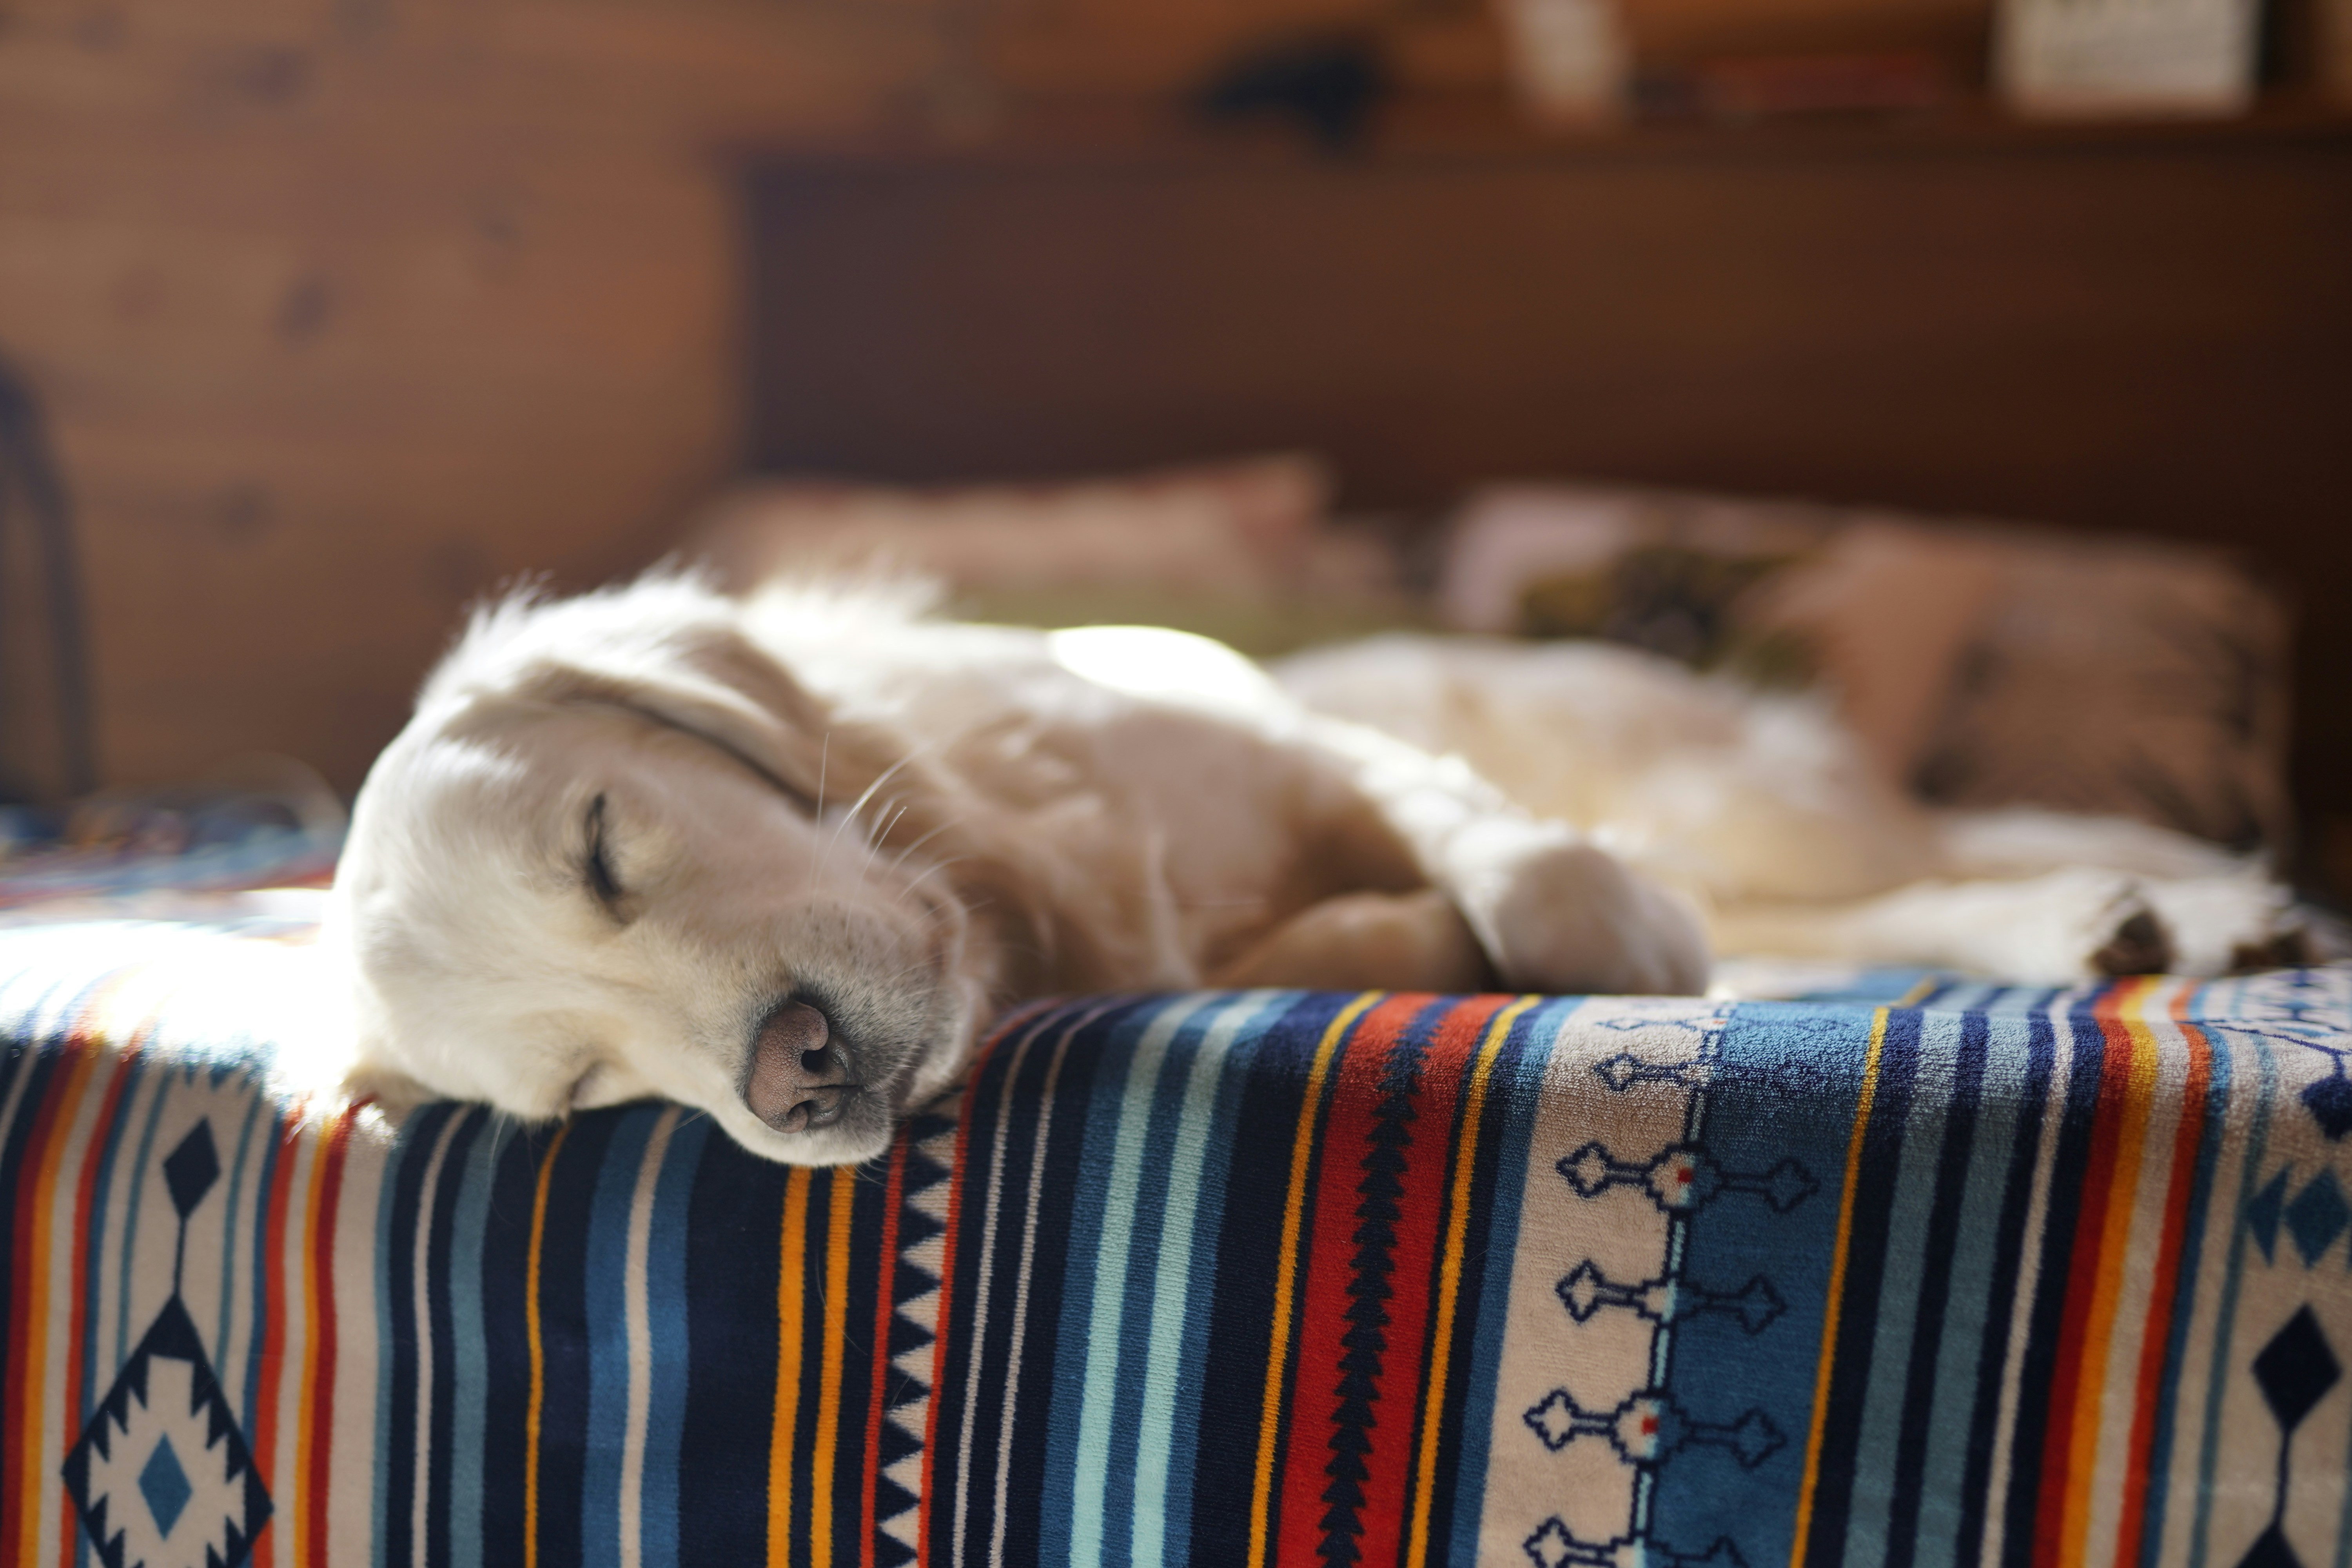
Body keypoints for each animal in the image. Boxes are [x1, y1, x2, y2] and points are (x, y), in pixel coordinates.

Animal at [332, 573, 2314, 1166]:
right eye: (583, 1090)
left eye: (604, 848)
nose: (794, 1079)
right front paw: (1408, 928)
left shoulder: (1288, 740)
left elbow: (1525, 875)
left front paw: (1563, 922)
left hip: (1731, 787)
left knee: (1899, 866)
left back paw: (2179, 895)